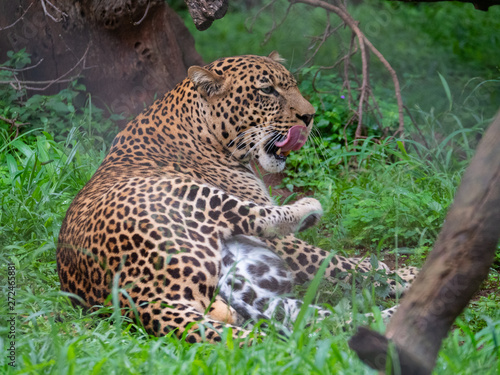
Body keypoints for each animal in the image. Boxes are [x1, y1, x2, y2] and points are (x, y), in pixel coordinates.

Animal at [56, 53, 416, 344]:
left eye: (292, 86)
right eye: (267, 90)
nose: (310, 116)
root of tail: (138, 297)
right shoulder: (286, 242)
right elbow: (341, 263)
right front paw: (400, 275)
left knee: (320, 323)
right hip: (192, 195)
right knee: (262, 220)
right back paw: (309, 209)